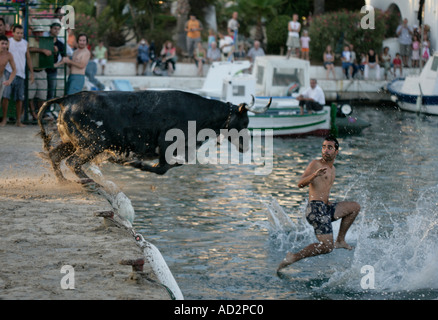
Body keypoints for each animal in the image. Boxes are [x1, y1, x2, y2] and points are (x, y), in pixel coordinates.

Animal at [38, 90, 270, 185]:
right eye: (245, 123)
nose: (246, 147)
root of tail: (68, 98)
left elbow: (171, 165)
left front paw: (128, 161)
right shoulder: (166, 144)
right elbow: (162, 168)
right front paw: (131, 162)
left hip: (71, 142)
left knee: (55, 156)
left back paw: (63, 181)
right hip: (94, 143)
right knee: (73, 162)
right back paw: (89, 181)